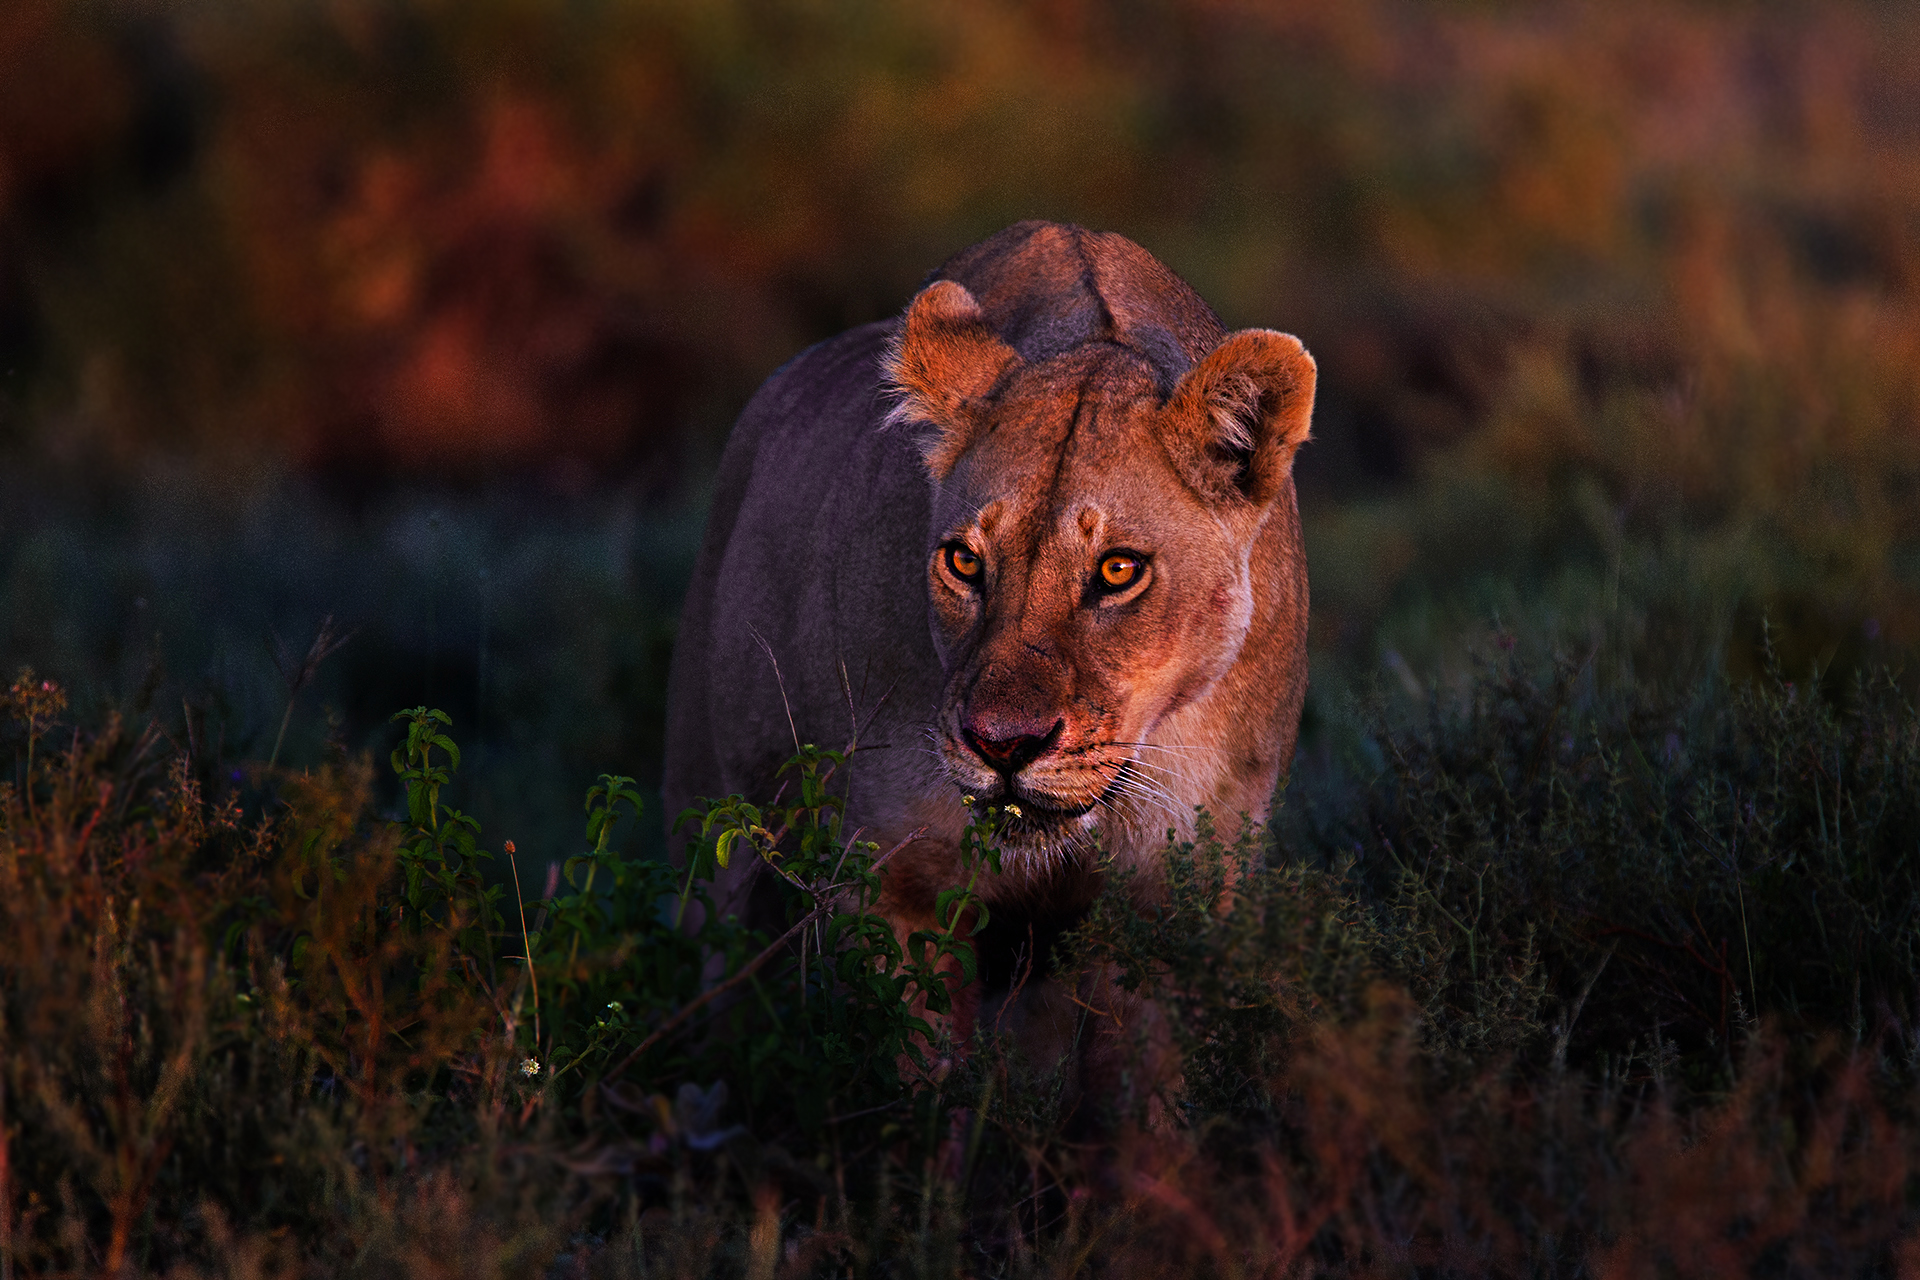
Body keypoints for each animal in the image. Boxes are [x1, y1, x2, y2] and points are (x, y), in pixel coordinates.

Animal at [663, 220, 1314, 1118]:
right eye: (966, 562)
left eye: (1118, 570)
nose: (1004, 746)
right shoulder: (900, 876)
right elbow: (919, 1088)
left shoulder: (1180, 892)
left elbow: (1143, 1100)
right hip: (711, 826)